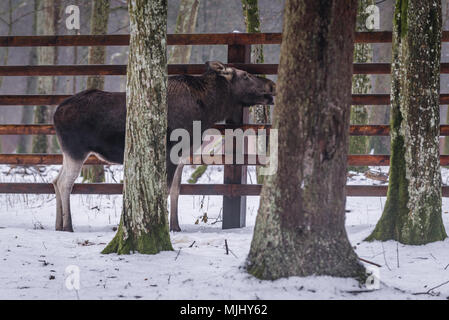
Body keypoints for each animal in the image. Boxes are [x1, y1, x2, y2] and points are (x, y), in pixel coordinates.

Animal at [52, 62, 276, 232]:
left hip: (68, 153)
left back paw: (58, 225)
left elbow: (176, 190)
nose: (272, 84)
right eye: (246, 75)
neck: (207, 110)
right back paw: (68, 226)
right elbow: (165, 189)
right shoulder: (170, 153)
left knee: (55, 181)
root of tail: (56, 112)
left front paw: (175, 226)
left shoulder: (183, 157)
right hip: (76, 151)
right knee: (64, 183)